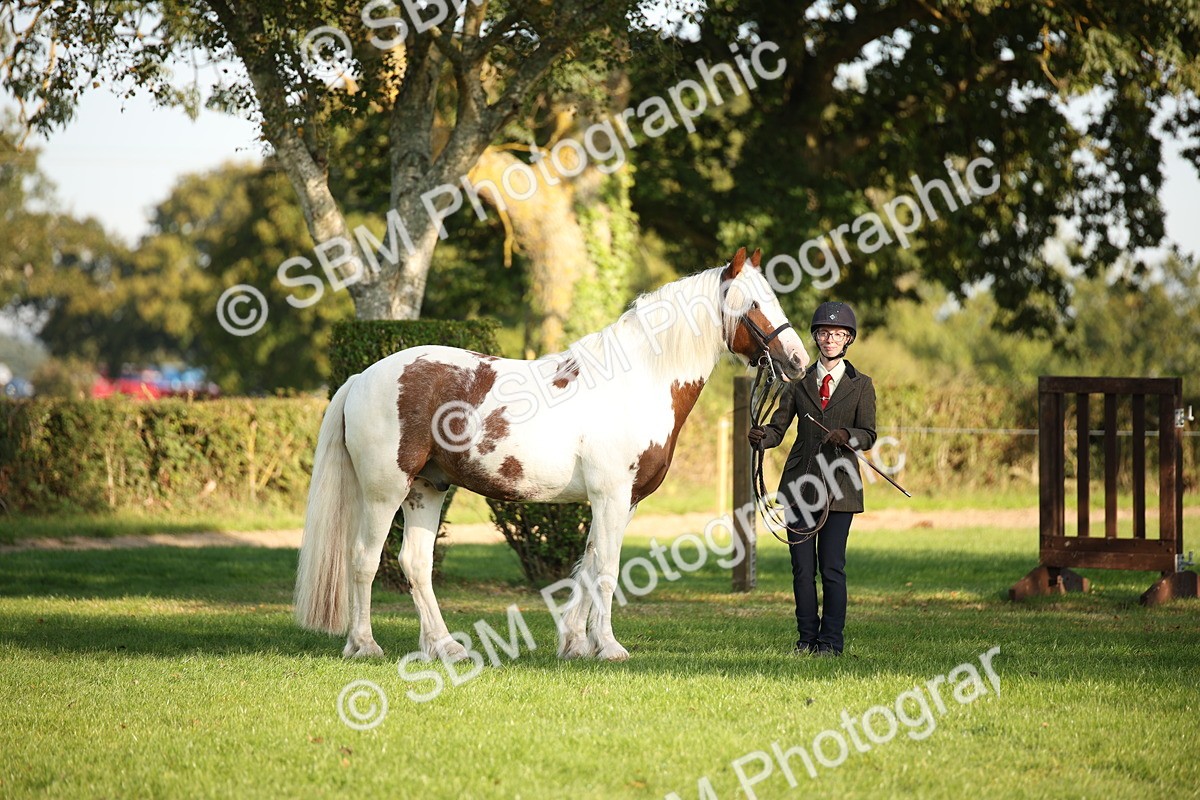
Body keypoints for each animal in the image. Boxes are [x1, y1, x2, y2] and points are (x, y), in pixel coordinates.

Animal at [294, 247, 810, 661]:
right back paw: (365, 645)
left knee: (415, 565)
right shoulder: (611, 495)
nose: (799, 362)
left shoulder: (620, 501)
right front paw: (610, 647)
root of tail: (362, 377)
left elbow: (587, 567)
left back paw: (447, 647)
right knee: (364, 558)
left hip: (427, 489)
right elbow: (606, 571)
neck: (637, 381)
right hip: (385, 491)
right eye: (755, 304)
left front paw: (576, 644)